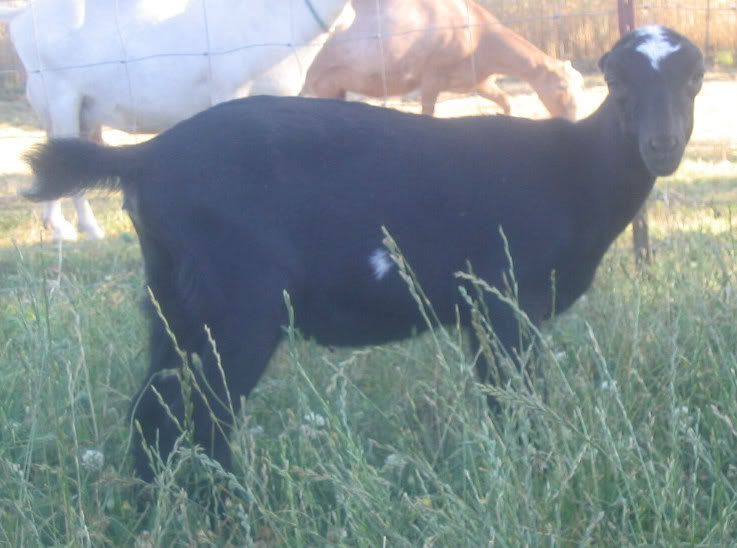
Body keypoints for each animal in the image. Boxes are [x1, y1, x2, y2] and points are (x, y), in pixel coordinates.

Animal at [23, 26, 703, 481]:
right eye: (616, 81)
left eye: (694, 79)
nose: (662, 145)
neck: (575, 169)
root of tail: (145, 156)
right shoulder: (509, 301)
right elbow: (517, 402)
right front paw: (533, 470)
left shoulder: (482, 313)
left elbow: (499, 402)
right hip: (237, 303)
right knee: (205, 417)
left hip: (172, 297)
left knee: (154, 409)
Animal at [301, 0, 584, 119]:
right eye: (561, 86)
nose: (571, 119)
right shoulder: (432, 76)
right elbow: (428, 113)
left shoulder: (477, 80)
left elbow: (506, 101)